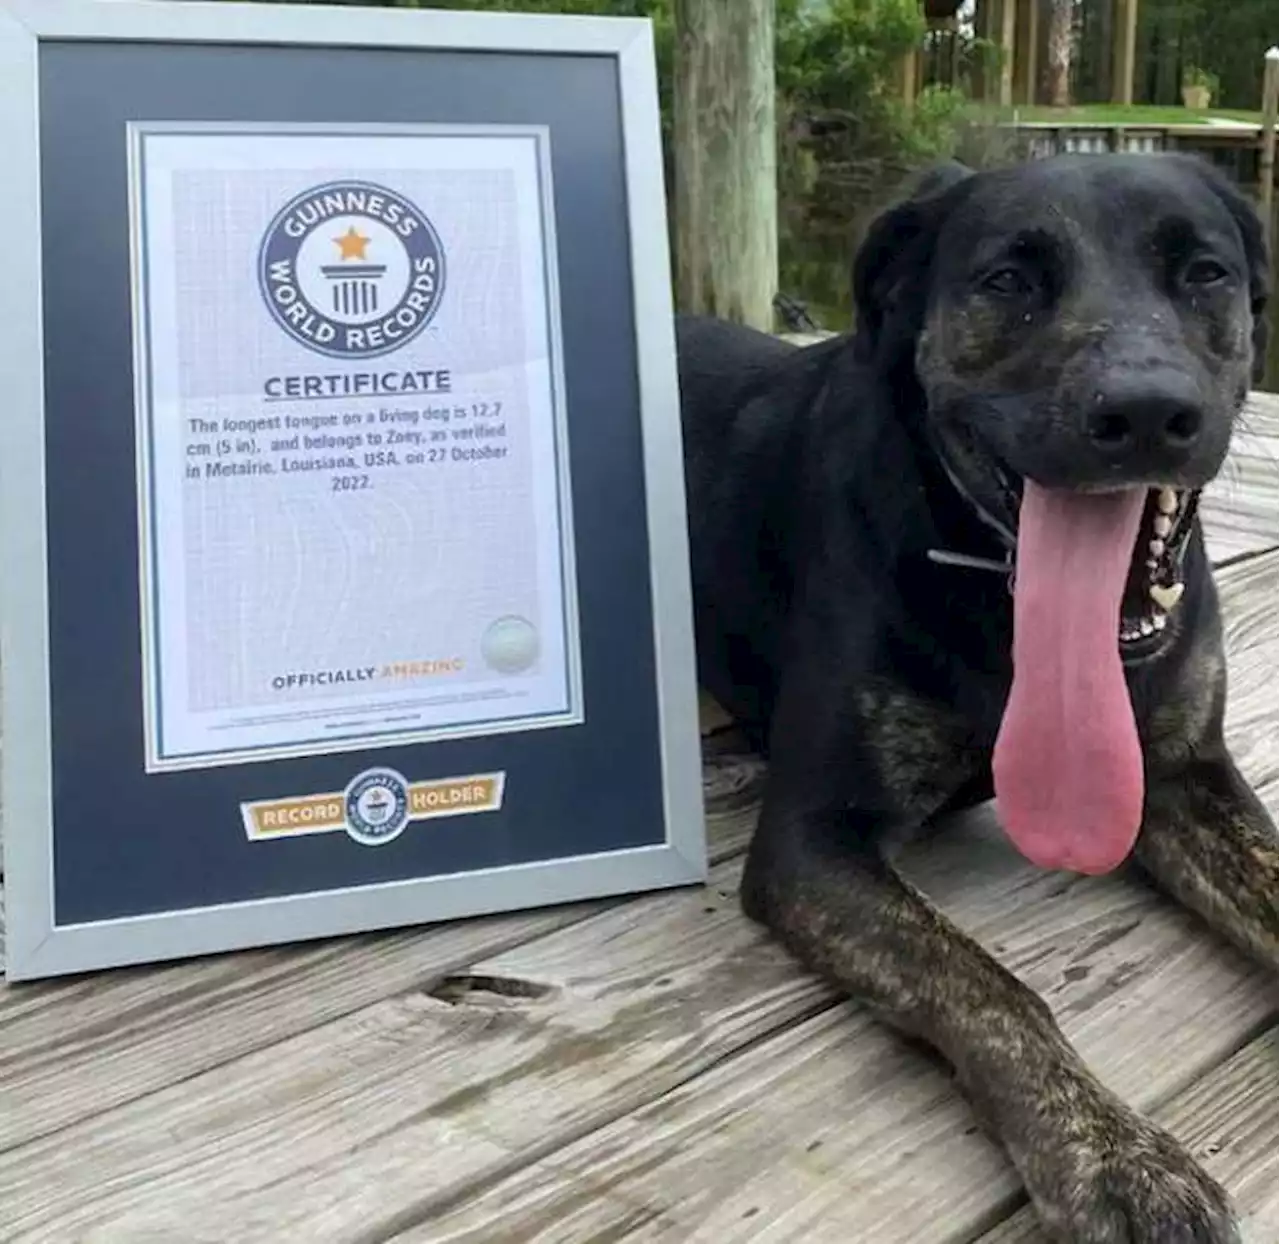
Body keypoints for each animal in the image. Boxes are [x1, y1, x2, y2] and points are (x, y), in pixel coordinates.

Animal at [675, 150, 1274, 1238]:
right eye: (1007, 280)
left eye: (1202, 272)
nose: (1142, 412)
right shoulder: (812, 840)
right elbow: (986, 983)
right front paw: (1111, 1156)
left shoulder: (1181, 775)